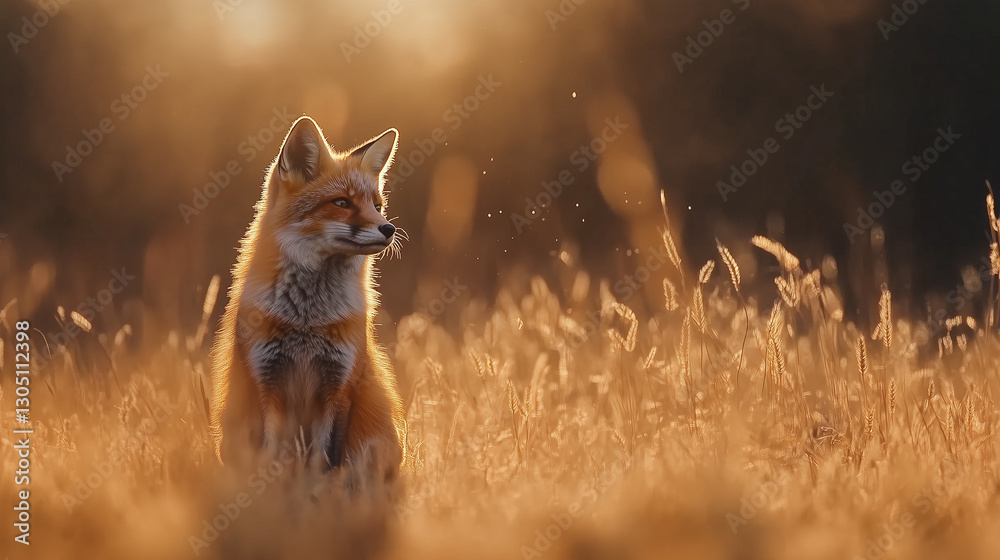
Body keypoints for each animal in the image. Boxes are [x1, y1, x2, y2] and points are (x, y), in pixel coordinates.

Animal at [209, 115, 405, 480]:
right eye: (341, 202)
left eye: (377, 206)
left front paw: (322, 492)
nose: (389, 229)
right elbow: (272, 456)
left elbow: (327, 459)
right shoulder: (266, 381)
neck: (307, 320)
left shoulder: (340, 385)